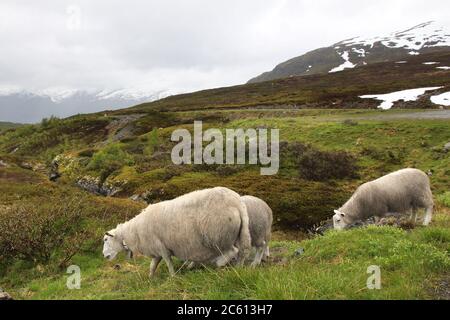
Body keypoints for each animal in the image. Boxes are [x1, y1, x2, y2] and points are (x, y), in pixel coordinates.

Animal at [102, 186, 251, 276]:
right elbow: (152, 265)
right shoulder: (157, 250)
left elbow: (168, 263)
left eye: (106, 239)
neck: (134, 232)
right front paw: (150, 278)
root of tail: (237, 202)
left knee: (232, 251)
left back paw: (219, 263)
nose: (104, 256)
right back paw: (238, 268)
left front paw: (173, 277)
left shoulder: (162, 248)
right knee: (242, 252)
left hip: (219, 237)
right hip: (240, 233)